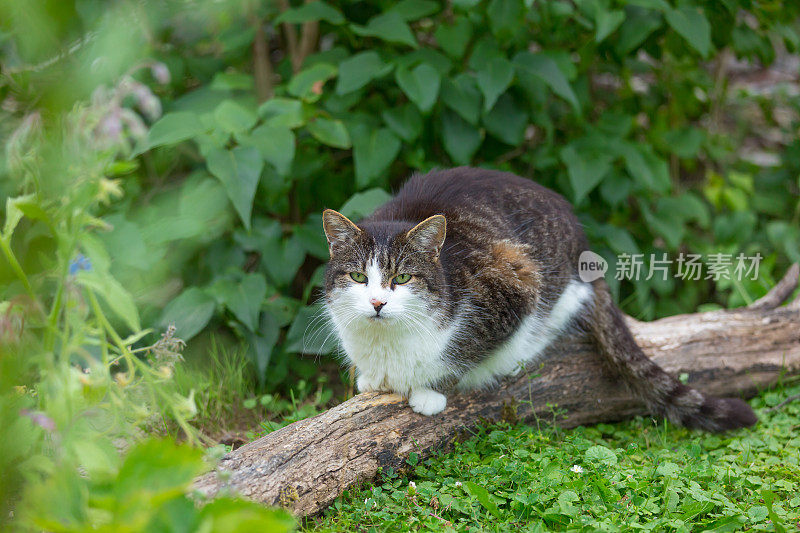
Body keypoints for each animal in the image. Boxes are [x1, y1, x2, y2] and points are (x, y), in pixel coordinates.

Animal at [320, 167, 756, 432]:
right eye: (358, 277)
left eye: (402, 278)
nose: (377, 304)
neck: (386, 343)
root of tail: (583, 249)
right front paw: (371, 377)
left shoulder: (513, 288)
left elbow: (458, 355)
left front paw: (427, 391)